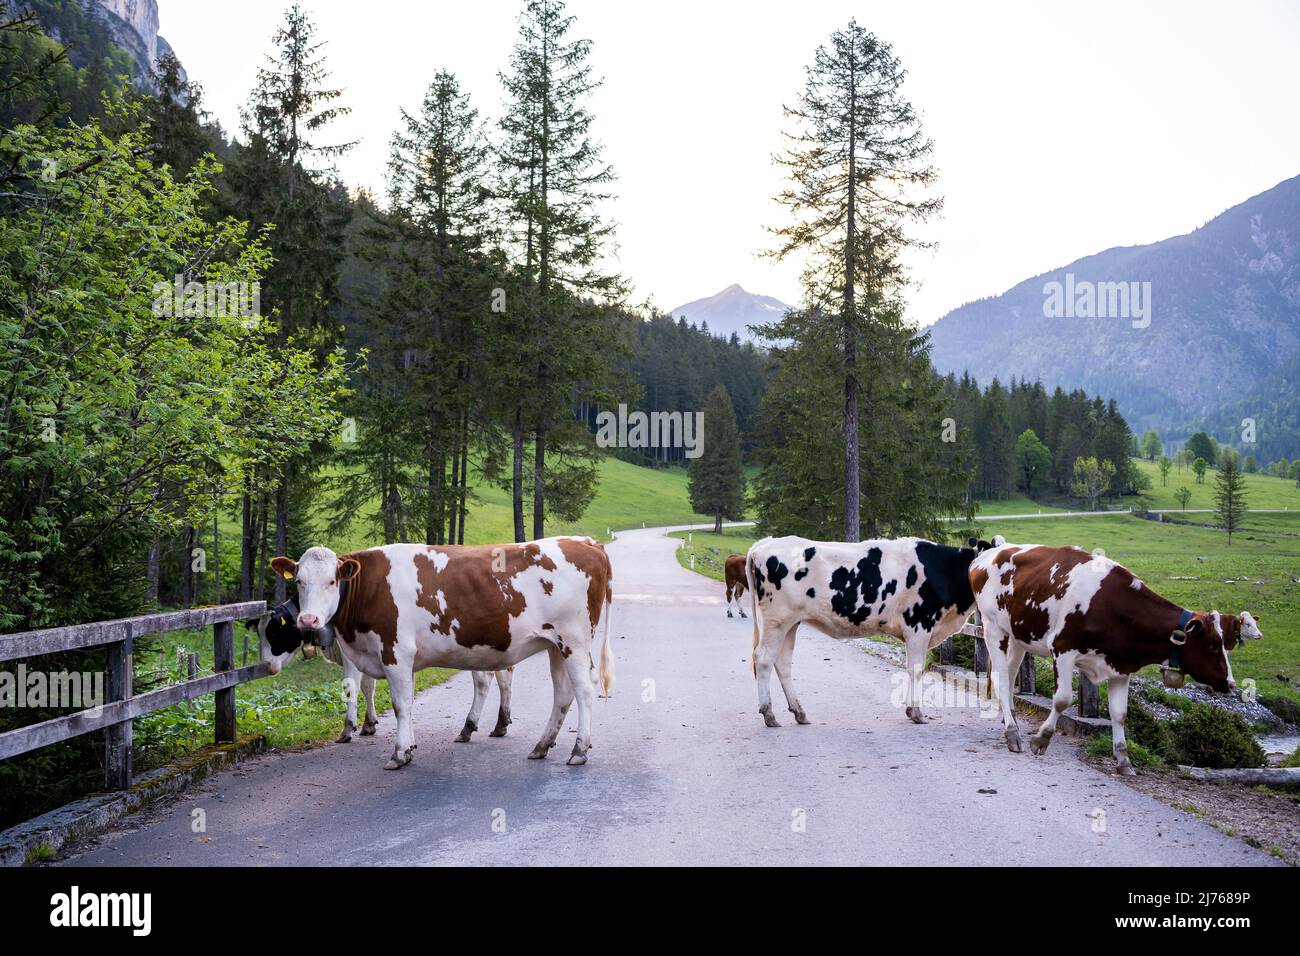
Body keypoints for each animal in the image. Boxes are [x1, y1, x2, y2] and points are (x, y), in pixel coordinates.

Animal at [267, 538, 613, 770]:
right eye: (300, 581)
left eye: (332, 580)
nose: (308, 621)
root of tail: (585, 542)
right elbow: (403, 702)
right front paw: (410, 744)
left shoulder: (395, 652)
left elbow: (400, 704)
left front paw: (399, 753)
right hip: (556, 645)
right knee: (562, 694)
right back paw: (542, 745)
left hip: (574, 641)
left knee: (584, 690)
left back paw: (579, 750)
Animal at [972, 541, 1263, 775]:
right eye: (1213, 646)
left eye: (1229, 644)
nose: (1230, 683)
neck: (1113, 606)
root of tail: (987, 555)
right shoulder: (1062, 649)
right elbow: (1062, 699)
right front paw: (1041, 739)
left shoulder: (1120, 667)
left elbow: (1120, 714)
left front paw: (1124, 761)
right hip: (993, 628)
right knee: (1000, 679)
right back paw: (1012, 734)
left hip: (1018, 636)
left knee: (1010, 676)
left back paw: (1009, 720)